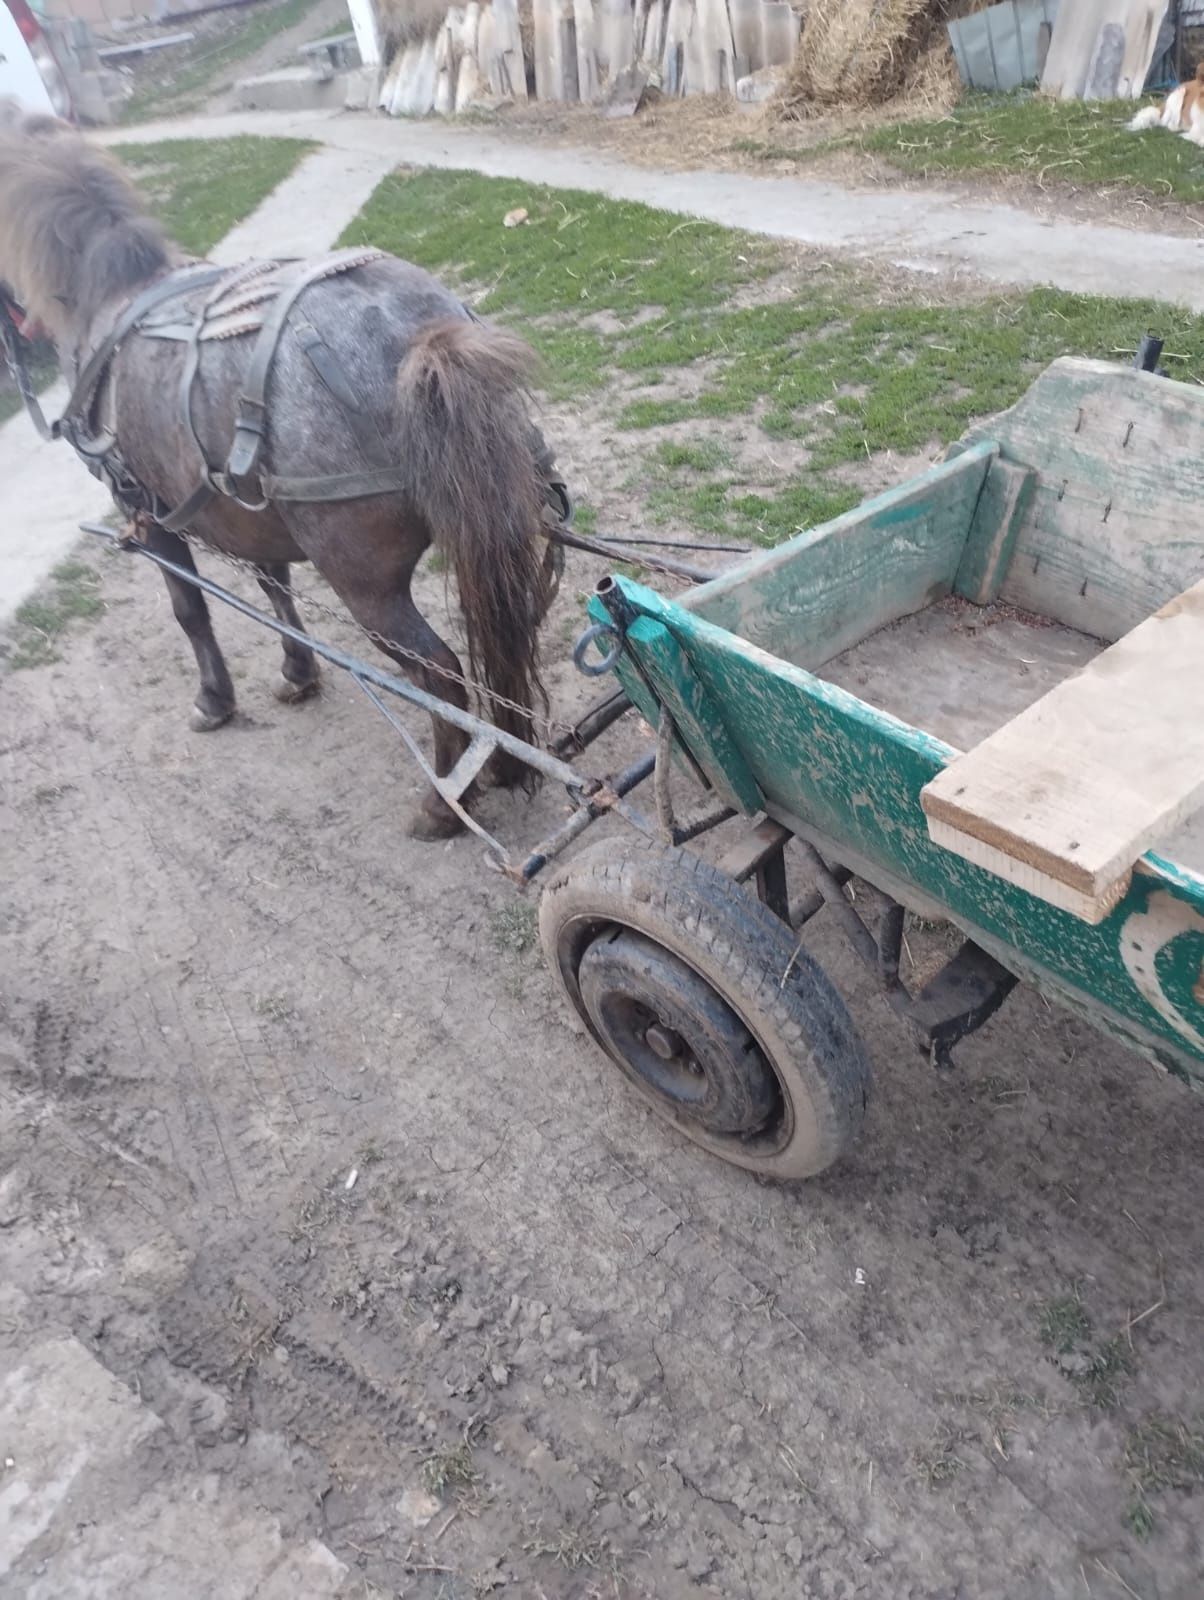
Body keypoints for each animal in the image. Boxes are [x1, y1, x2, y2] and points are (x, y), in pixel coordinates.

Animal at [0, 106, 563, 838]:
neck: (109, 302)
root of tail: (421, 338)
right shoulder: (250, 510)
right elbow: (275, 589)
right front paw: (298, 671)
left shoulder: (147, 515)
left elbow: (190, 611)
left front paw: (214, 699)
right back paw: (494, 763)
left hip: (369, 586)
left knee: (440, 675)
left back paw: (443, 801)